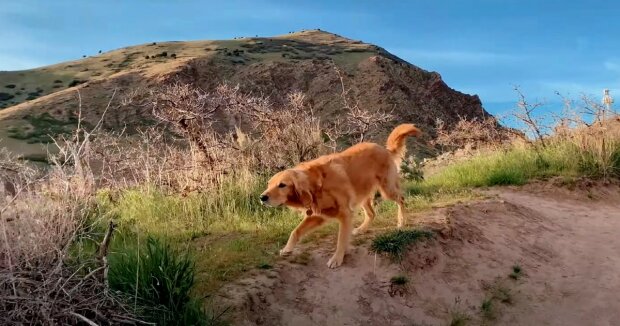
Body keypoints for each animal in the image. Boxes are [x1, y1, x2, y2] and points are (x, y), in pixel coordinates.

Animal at [260, 123, 418, 268]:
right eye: (268, 184)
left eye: (282, 185)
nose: (262, 197)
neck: (316, 185)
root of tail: (384, 149)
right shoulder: (318, 215)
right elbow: (295, 231)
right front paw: (287, 249)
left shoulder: (345, 214)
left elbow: (341, 239)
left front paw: (337, 258)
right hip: (362, 195)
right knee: (372, 213)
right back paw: (361, 229)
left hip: (387, 189)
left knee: (401, 199)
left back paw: (401, 222)